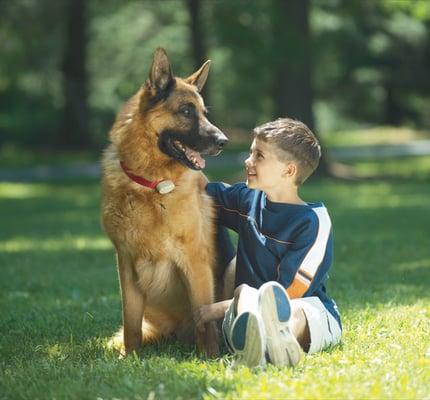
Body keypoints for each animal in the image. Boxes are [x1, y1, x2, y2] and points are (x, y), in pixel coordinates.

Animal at [101, 47, 228, 356]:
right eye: (186, 111)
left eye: (204, 113)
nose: (224, 141)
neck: (150, 186)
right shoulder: (125, 263)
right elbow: (131, 322)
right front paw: (130, 357)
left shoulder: (195, 260)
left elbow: (205, 318)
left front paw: (210, 357)